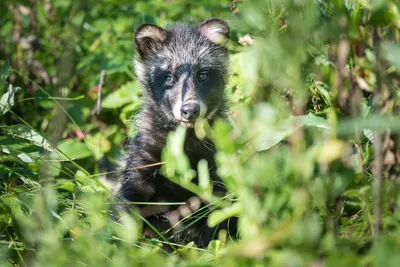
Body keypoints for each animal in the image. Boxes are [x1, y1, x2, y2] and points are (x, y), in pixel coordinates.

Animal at [115, 18, 234, 249]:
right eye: (169, 77)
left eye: (203, 75)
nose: (190, 110)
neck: (186, 136)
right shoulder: (146, 156)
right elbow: (131, 200)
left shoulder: (216, 162)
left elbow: (220, 214)